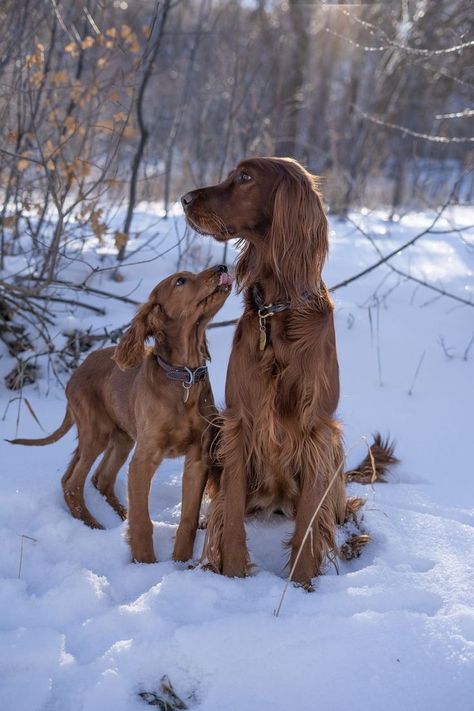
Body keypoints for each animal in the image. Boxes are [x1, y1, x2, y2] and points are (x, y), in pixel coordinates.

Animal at [10, 264, 232, 564]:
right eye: (180, 281)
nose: (223, 267)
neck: (182, 377)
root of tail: (76, 373)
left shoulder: (198, 458)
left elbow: (187, 518)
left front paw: (179, 562)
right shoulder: (144, 459)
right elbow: (143, 521)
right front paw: (145, 562)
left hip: (122, 437)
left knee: (100, 479)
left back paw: (118, 516)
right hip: (97, 433)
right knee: (72, 483)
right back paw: (93, 525)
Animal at [181, 157, 396, 588]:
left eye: (245, 177)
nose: (184, 199)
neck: (277, 311)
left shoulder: (316, 431)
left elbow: (310, 525)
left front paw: (302, 586)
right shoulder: (239, 422)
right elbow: (231, 516)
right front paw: (233, 577)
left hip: (333, 459)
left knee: (339, 515)